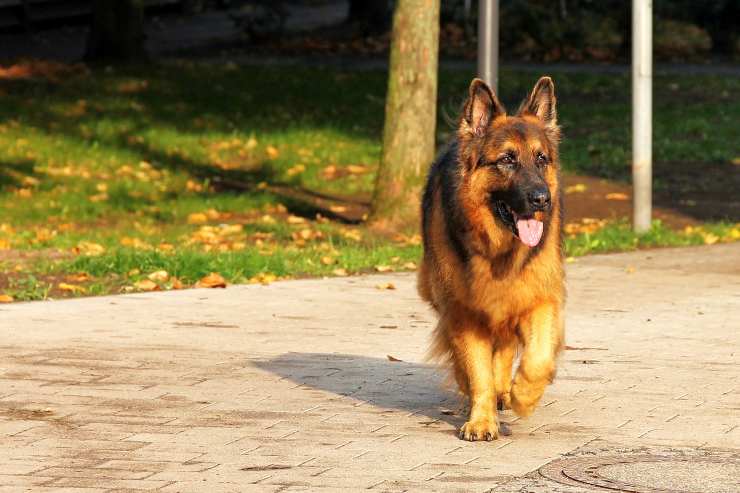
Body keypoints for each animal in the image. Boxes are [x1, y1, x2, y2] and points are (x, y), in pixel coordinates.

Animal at [420, 78, 564, 442]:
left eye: (541, 159)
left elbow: (537, 360)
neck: (499, 252)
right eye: (507, 160)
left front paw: (522, 395)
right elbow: (478, 371)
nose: (542, 199)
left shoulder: (539, 298)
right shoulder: (464, 311)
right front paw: (482, 420)